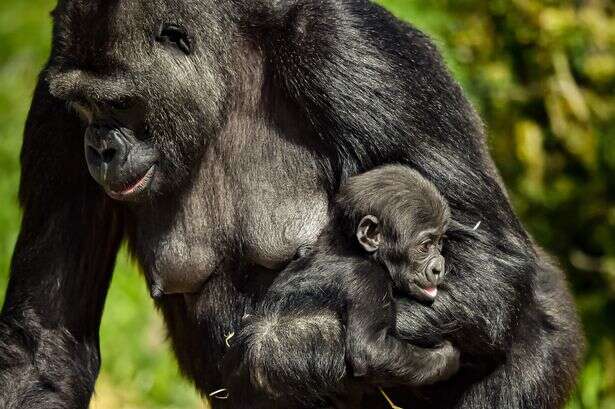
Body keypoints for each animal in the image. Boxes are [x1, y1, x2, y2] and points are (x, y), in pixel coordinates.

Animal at [224, 164, 460, 406]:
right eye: (425, 245)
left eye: (440, 242)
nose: (439, 267)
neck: (352, 249)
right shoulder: (367, 279)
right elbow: (372, 350)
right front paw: (447, 358)